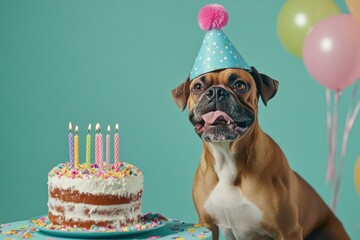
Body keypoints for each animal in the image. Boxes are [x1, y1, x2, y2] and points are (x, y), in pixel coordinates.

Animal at [172, 67, 348, 240]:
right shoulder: (207, 224)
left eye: (240, 85)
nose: (216, 91)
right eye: (197, 87)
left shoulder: (288, 231)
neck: (227, 158)